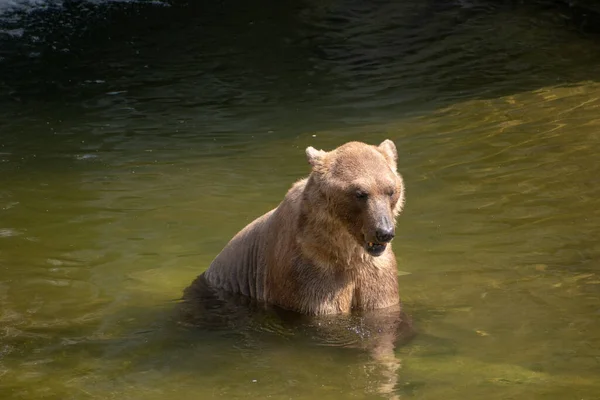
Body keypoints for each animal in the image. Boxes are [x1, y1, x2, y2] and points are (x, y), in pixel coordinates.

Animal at [185, 139, 406, 318]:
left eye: (390, 190)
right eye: (360, 193)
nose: (384, 232)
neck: (344, 251)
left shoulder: (375, 271)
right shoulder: (307, 270)